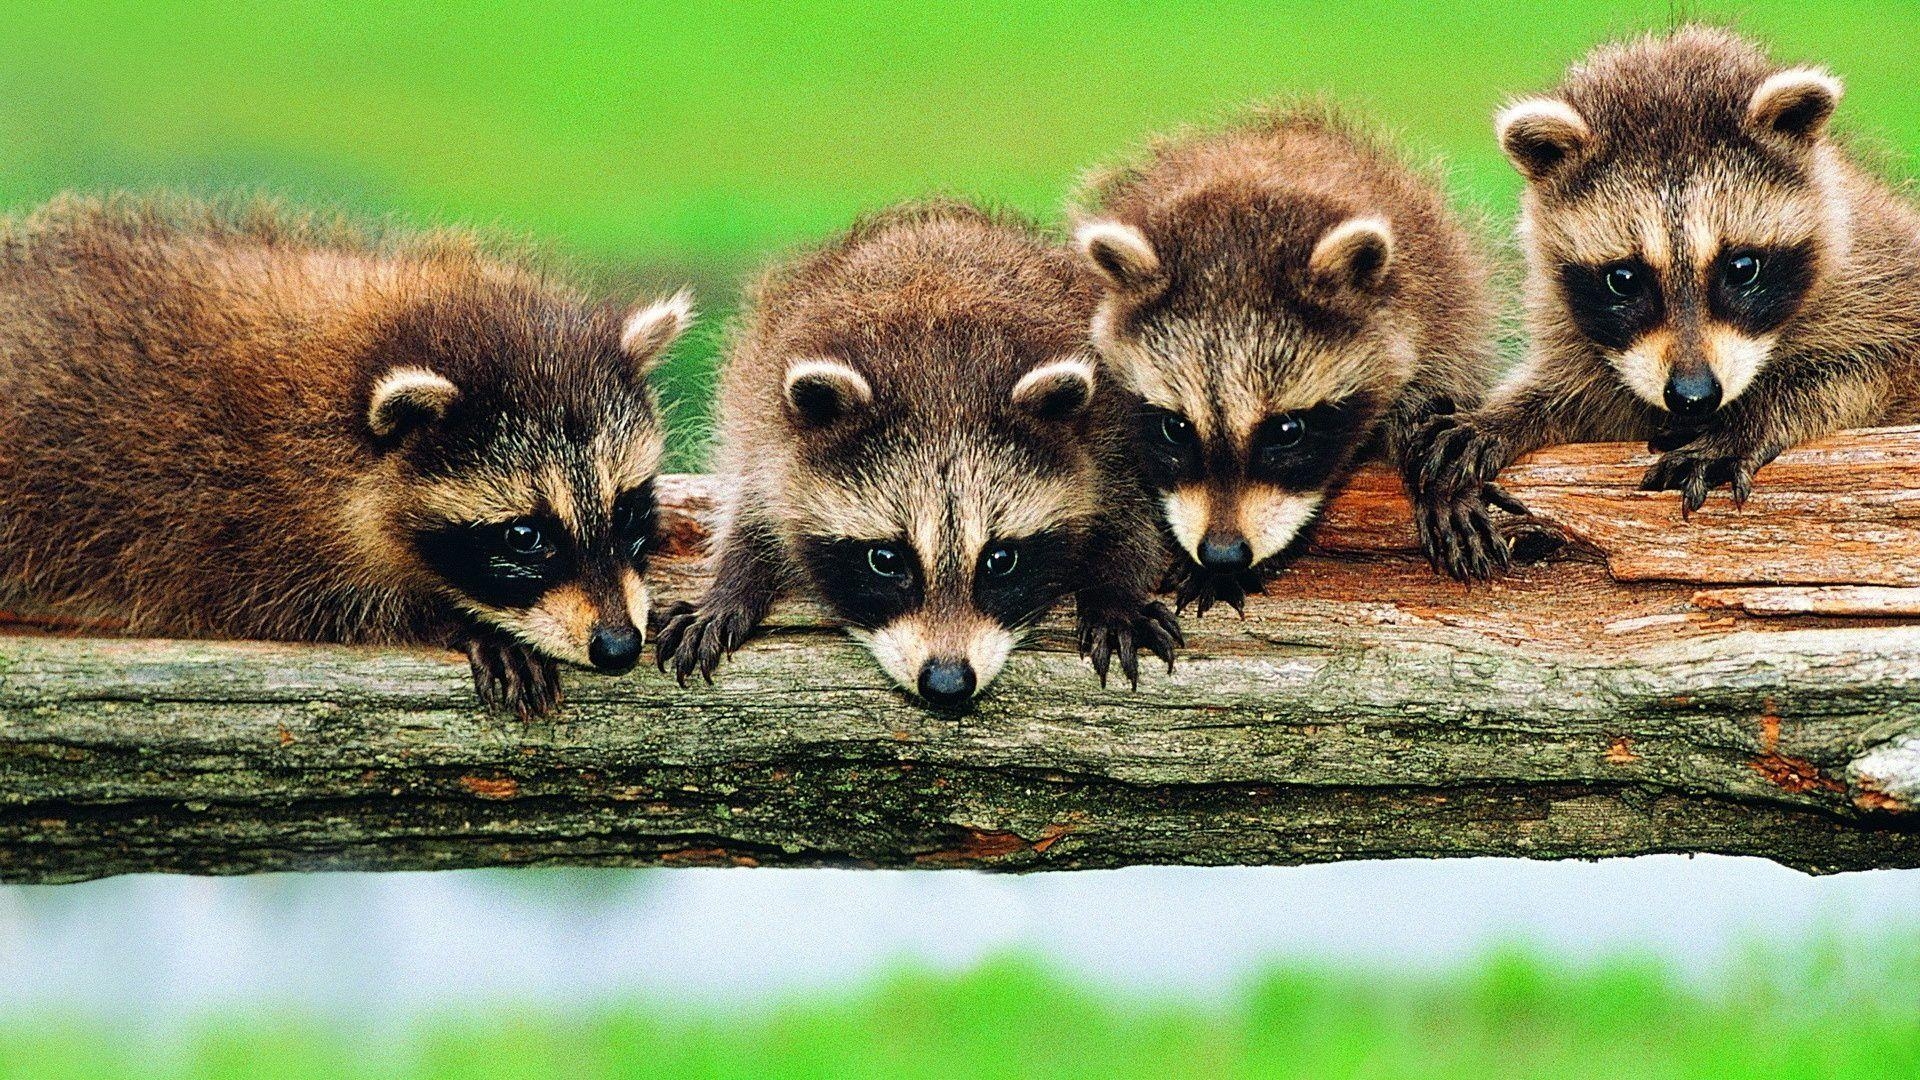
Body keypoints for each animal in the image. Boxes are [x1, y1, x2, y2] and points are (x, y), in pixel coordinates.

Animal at [0, 195, 691, 714]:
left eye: (628, 511)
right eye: (525, 536)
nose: (618, 646)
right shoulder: (238, 518)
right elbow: (316, 607)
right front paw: (457, 621)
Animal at [652, 200, 1175, 707]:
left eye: (1001, 559)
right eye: (886, 559)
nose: (947, 683)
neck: (941, 379)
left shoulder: (1108, 431)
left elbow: (1130, 515)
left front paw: (1115, 591)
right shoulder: (763, 427)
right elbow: (753, 508)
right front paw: (731, 583)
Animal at [1420, 25, 1920, 576]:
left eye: (1742, 268)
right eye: (1623, 278)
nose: (1693, 396)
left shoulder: (1881, 280)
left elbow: (1870, 367)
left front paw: (1749, 418)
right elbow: (1582, 396)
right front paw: (1503, 416)